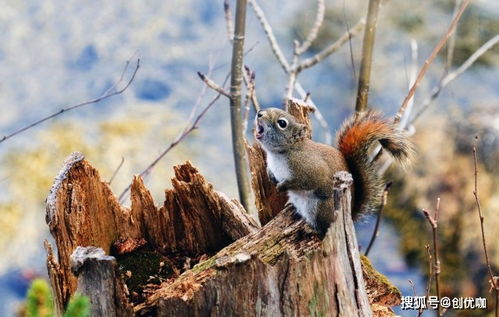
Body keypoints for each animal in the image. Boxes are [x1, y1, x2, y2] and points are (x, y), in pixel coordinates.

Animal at [254, 108, 414, 235]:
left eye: (282, 123)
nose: (259, 113)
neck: (280, 153)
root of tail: (350, 215)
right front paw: (271, 176)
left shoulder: (309, 169)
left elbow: (305, 181)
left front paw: (283, 186)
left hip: (321, 209)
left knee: (323, 229)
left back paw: (312, 229)